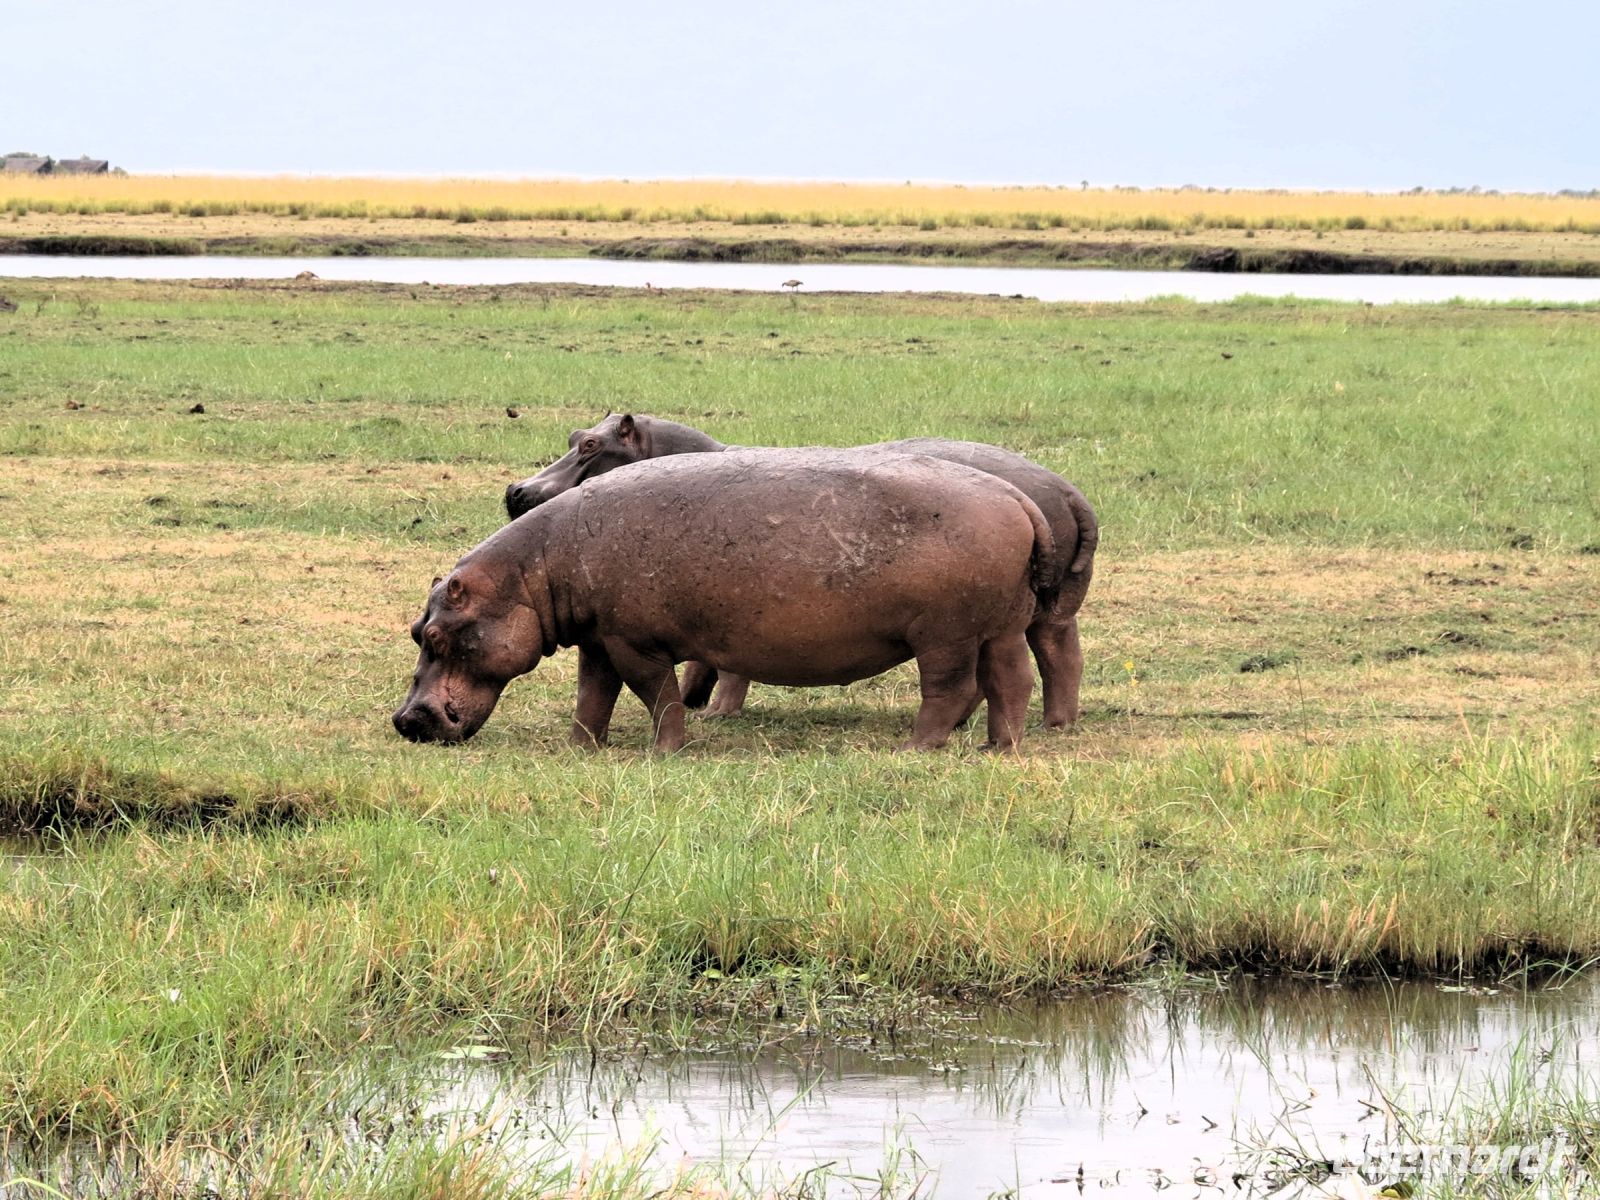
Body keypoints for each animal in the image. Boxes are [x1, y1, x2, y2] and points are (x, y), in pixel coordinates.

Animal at [395, 449, 1061, 752]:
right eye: (415, 631)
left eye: (435, 635)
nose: (405, 720)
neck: (534, 572)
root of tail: (1017, 498)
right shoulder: (599, 639)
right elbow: (593, 694)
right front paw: (582, 745)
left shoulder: (634, 642)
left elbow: (656, 695)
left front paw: (664, 752)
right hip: (998, 627)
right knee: (1009, 680)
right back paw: (1000, 746)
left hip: (945, 635)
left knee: (951, 689)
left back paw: (916, 747)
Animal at [504, 414, 1098, 727]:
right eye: (573, 435)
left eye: (590, 444)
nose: (516, 491)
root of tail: (1066, 488)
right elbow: (703, 657)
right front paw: (699, 705)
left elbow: (723, 662)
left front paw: (714, 711)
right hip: (1049, 607)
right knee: (1060, 653)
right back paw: (1055, 722)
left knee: (1047, 657)